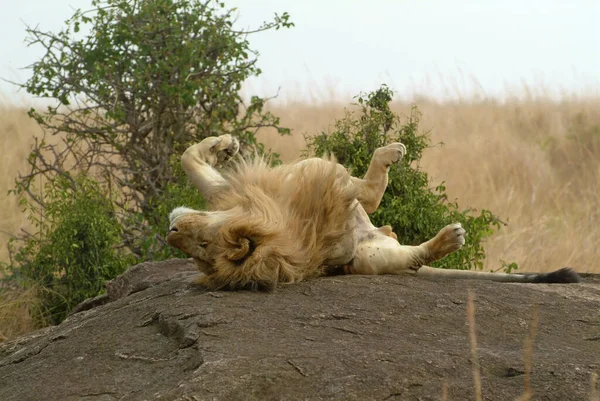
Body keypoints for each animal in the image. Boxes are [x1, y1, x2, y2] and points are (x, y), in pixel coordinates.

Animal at [165, 134, 580, 288]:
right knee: (410, 260)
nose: (170, 232)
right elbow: (361, 189)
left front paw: (223, 144)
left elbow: (188, 159)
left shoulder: (235, 189)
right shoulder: (327, 184)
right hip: (372, 258)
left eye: (201, 245)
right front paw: (389, 155)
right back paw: (446, 239)